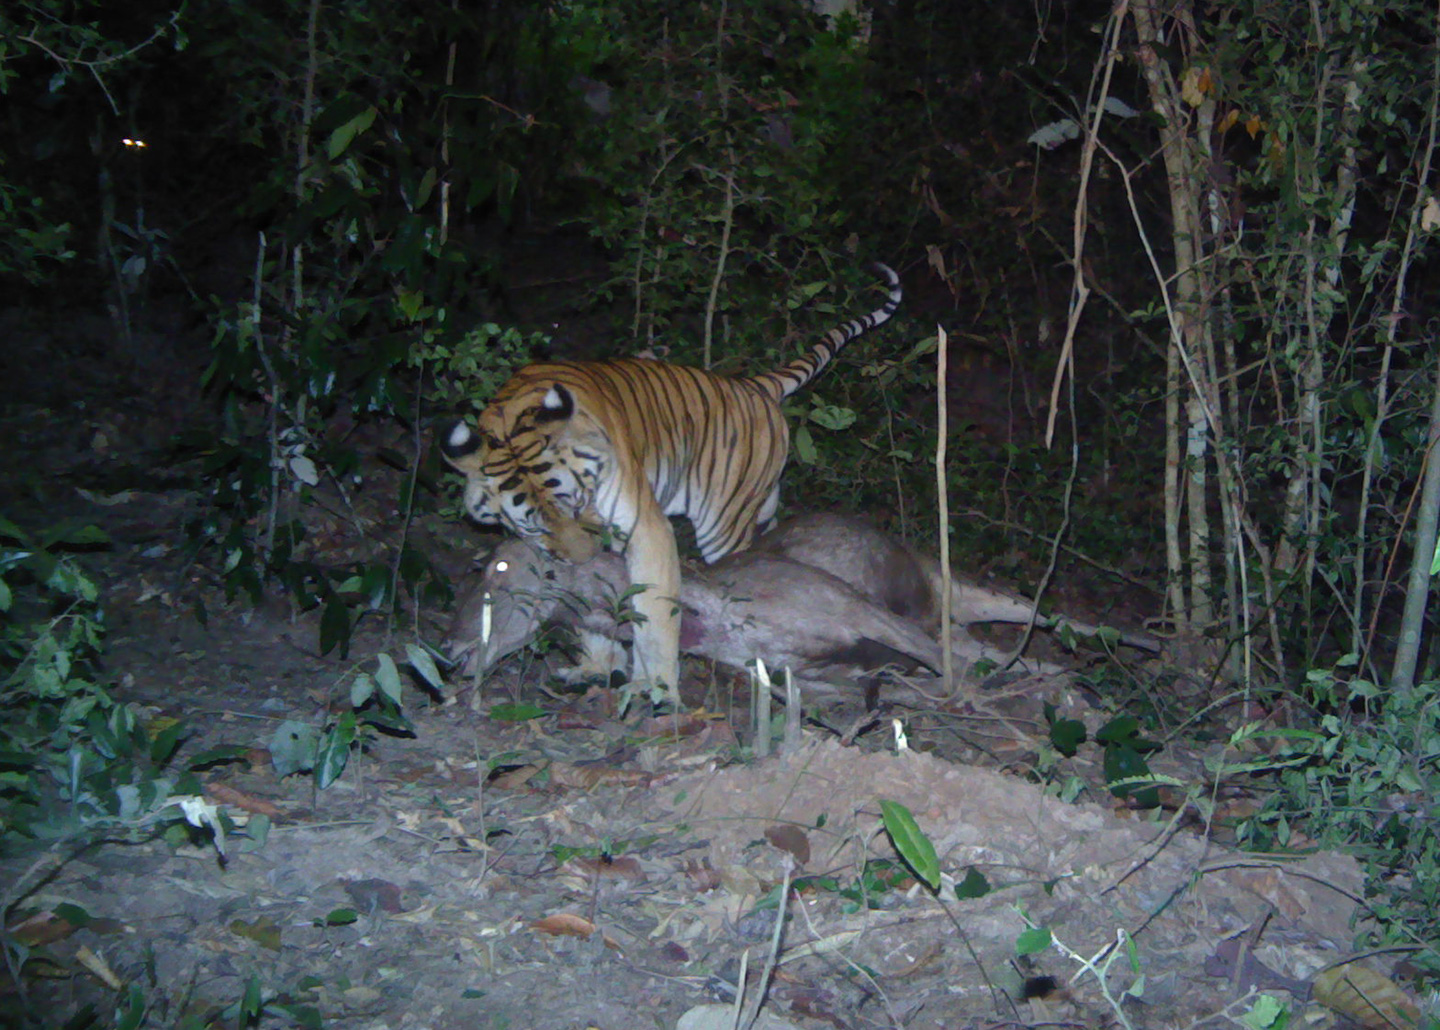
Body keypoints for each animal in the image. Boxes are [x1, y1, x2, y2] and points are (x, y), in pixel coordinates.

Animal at [440, 262, 898, 705]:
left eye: (578, 502)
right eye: (536, 526)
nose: (588, 555)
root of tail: (751, 383)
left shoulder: (645, 526)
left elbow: (654, 613)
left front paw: (655, 687)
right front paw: (598, 667)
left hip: (724, 524)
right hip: (762, 503)